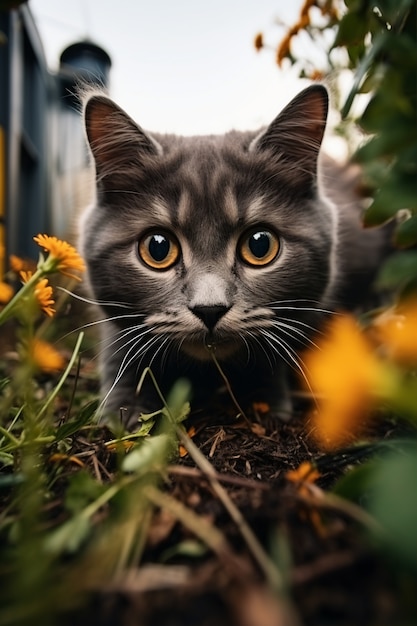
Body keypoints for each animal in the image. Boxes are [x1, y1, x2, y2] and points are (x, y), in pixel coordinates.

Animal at [79, 85, 388, 426]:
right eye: (158, 248)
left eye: (260, 245)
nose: (210, 309)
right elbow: (121, 351)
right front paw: (124, 410)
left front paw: (266, 401)